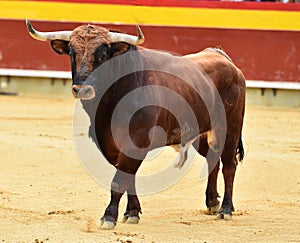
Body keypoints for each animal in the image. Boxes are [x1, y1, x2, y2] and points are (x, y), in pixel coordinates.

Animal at [26, 19, 246, 229]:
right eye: (72, 53)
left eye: (103, 54)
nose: (82, 89)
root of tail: (222, 56)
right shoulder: (109, 144)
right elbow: (128, 177)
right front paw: (131, 213)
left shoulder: (136, 141)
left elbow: (119, 181)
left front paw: (109, 216)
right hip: (201, 132)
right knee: (212, 158)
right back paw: (212, 202)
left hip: (231, 127)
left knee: (229, 164)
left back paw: (225, 209)